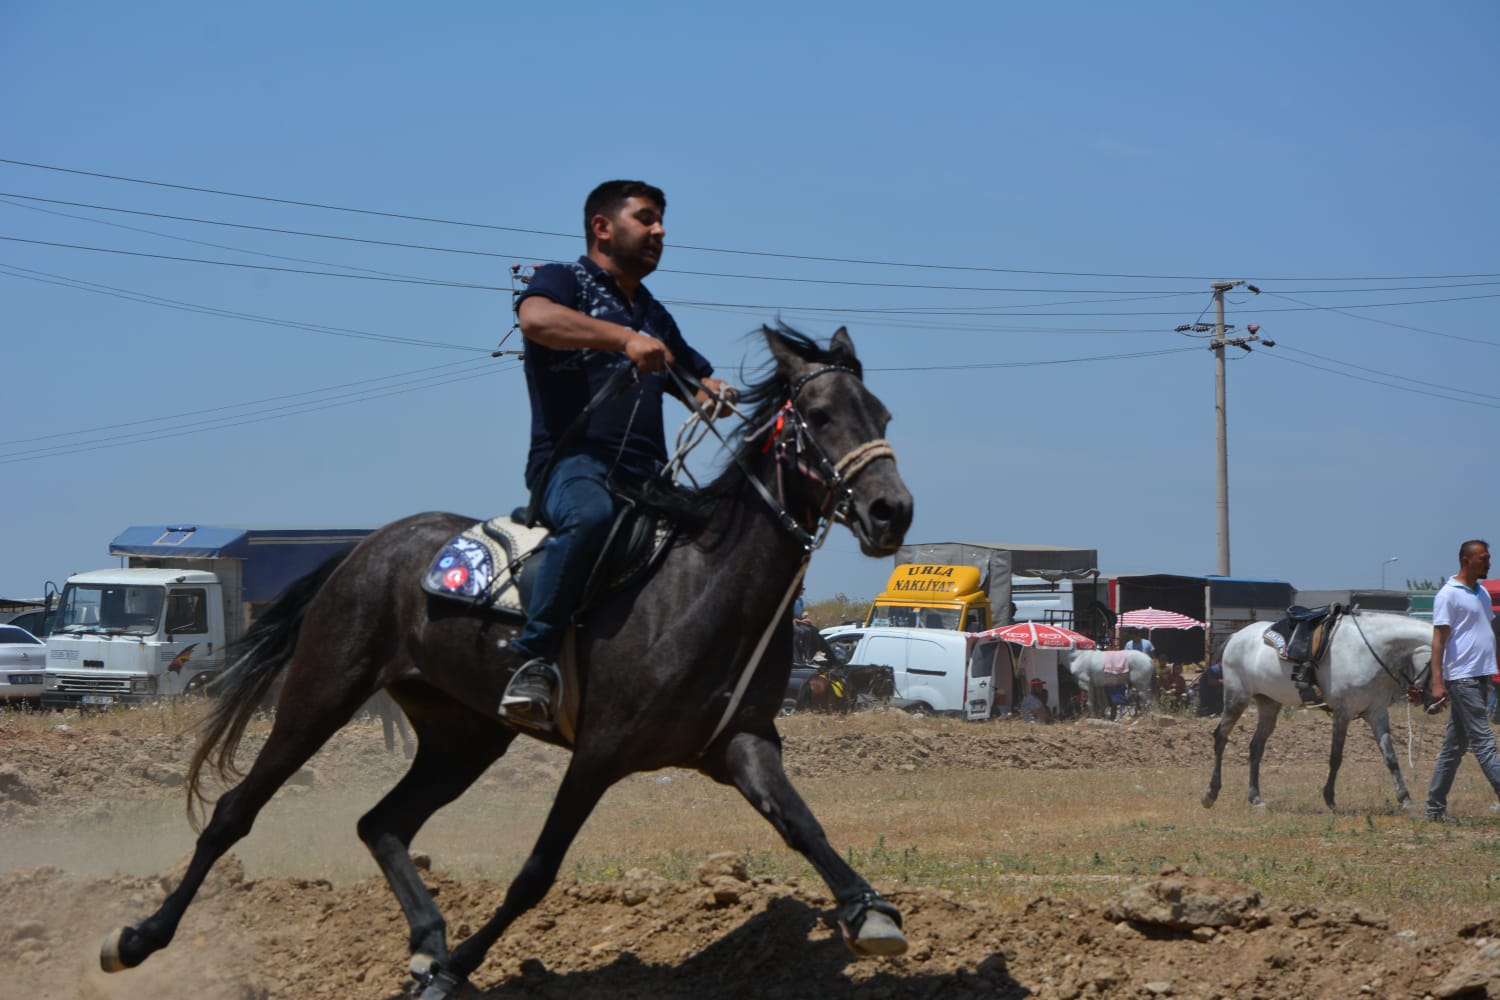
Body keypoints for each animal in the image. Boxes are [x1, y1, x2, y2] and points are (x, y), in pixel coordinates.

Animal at [99, 328, 912, 1000]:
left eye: (882, 415)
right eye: (820, 415)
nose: (890, 511)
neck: (701, 587)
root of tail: (366, 550)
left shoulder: (740, 743)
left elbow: (803, 826)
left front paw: (868, 911)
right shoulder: (600, 752)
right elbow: (535, 874)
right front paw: (457, 969)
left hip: (463, 736)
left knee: (380, 823)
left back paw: (427, 943)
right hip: (321, 694)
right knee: (234, 813)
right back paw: (137, 939)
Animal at [1206, 611, 1428, 815]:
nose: (1428, 701)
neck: (1369, 650)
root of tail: (1236, 636)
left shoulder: (1377, 713)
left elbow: (1390, 757)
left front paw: (1405, 798)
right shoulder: (1343, 712)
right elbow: (1336, 757)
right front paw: (1329, 798)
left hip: (1268, 704)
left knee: (1256, 747)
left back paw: (1255, 797)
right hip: (1237, 699)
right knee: (1220, 738)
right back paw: (1211, 793)